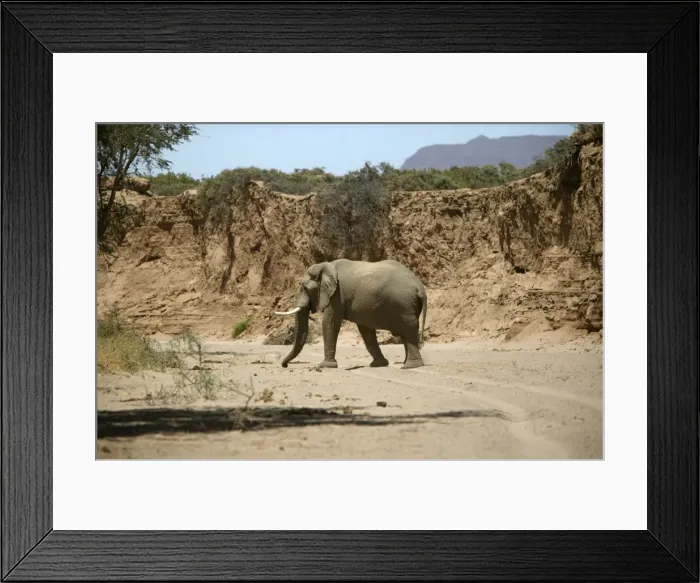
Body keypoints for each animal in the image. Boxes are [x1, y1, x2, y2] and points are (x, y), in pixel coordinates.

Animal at [274, 258, 428, 370]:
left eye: (305, 288)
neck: (326, 266)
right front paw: (378, 365)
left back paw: (410, 366)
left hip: (403, 305)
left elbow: (329, 322)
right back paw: (406, 363)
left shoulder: (337, 294)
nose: (285, 365)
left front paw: (325, 366)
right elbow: (365, 330)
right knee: (404, 333)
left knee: (407, 330)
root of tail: (420, 288)